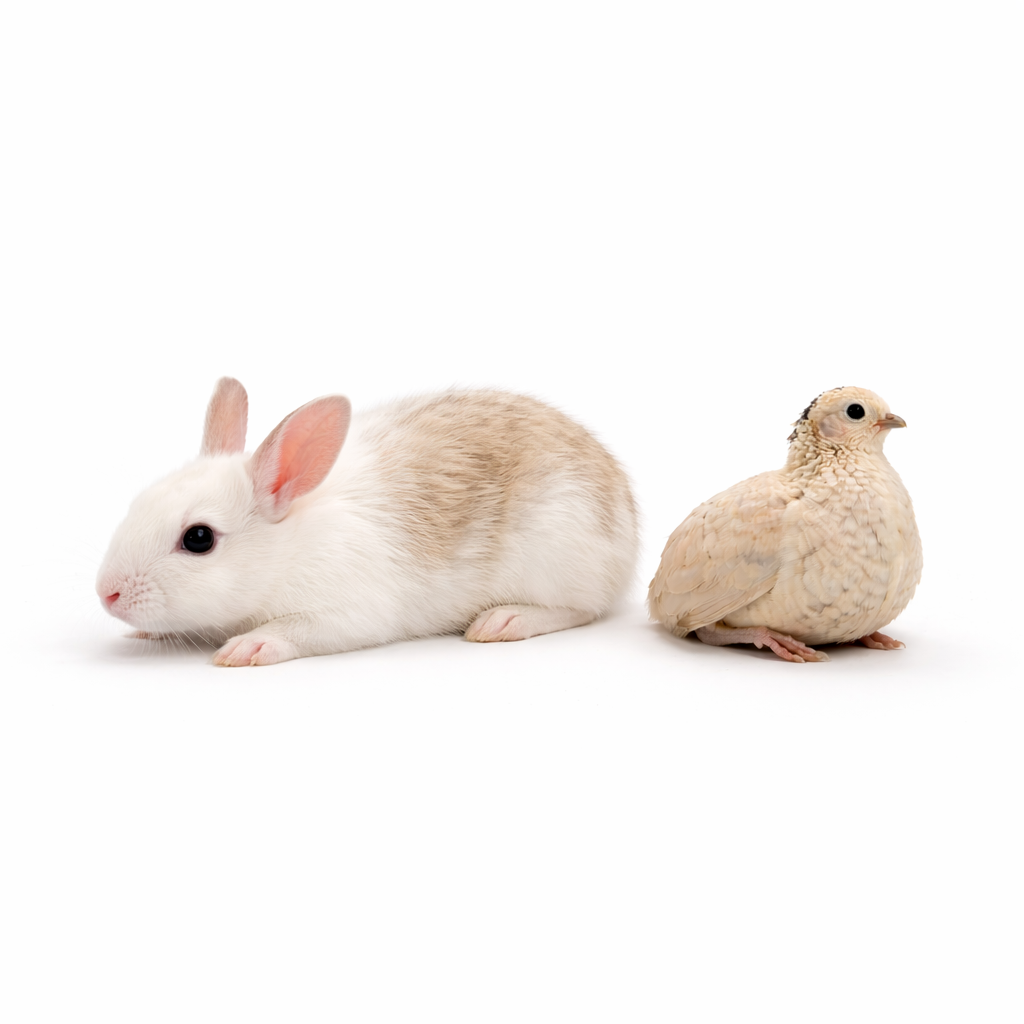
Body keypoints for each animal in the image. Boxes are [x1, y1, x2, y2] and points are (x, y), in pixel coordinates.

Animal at [97, 378, 639, 666]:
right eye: (137, 502)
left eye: (199, 538)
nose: (107, 595)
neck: (287, 546)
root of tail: (628, 525)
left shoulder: (344, 614)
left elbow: (294, 631)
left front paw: (248, 647)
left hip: (557, 555)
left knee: (579, 610)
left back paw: (505, 620)